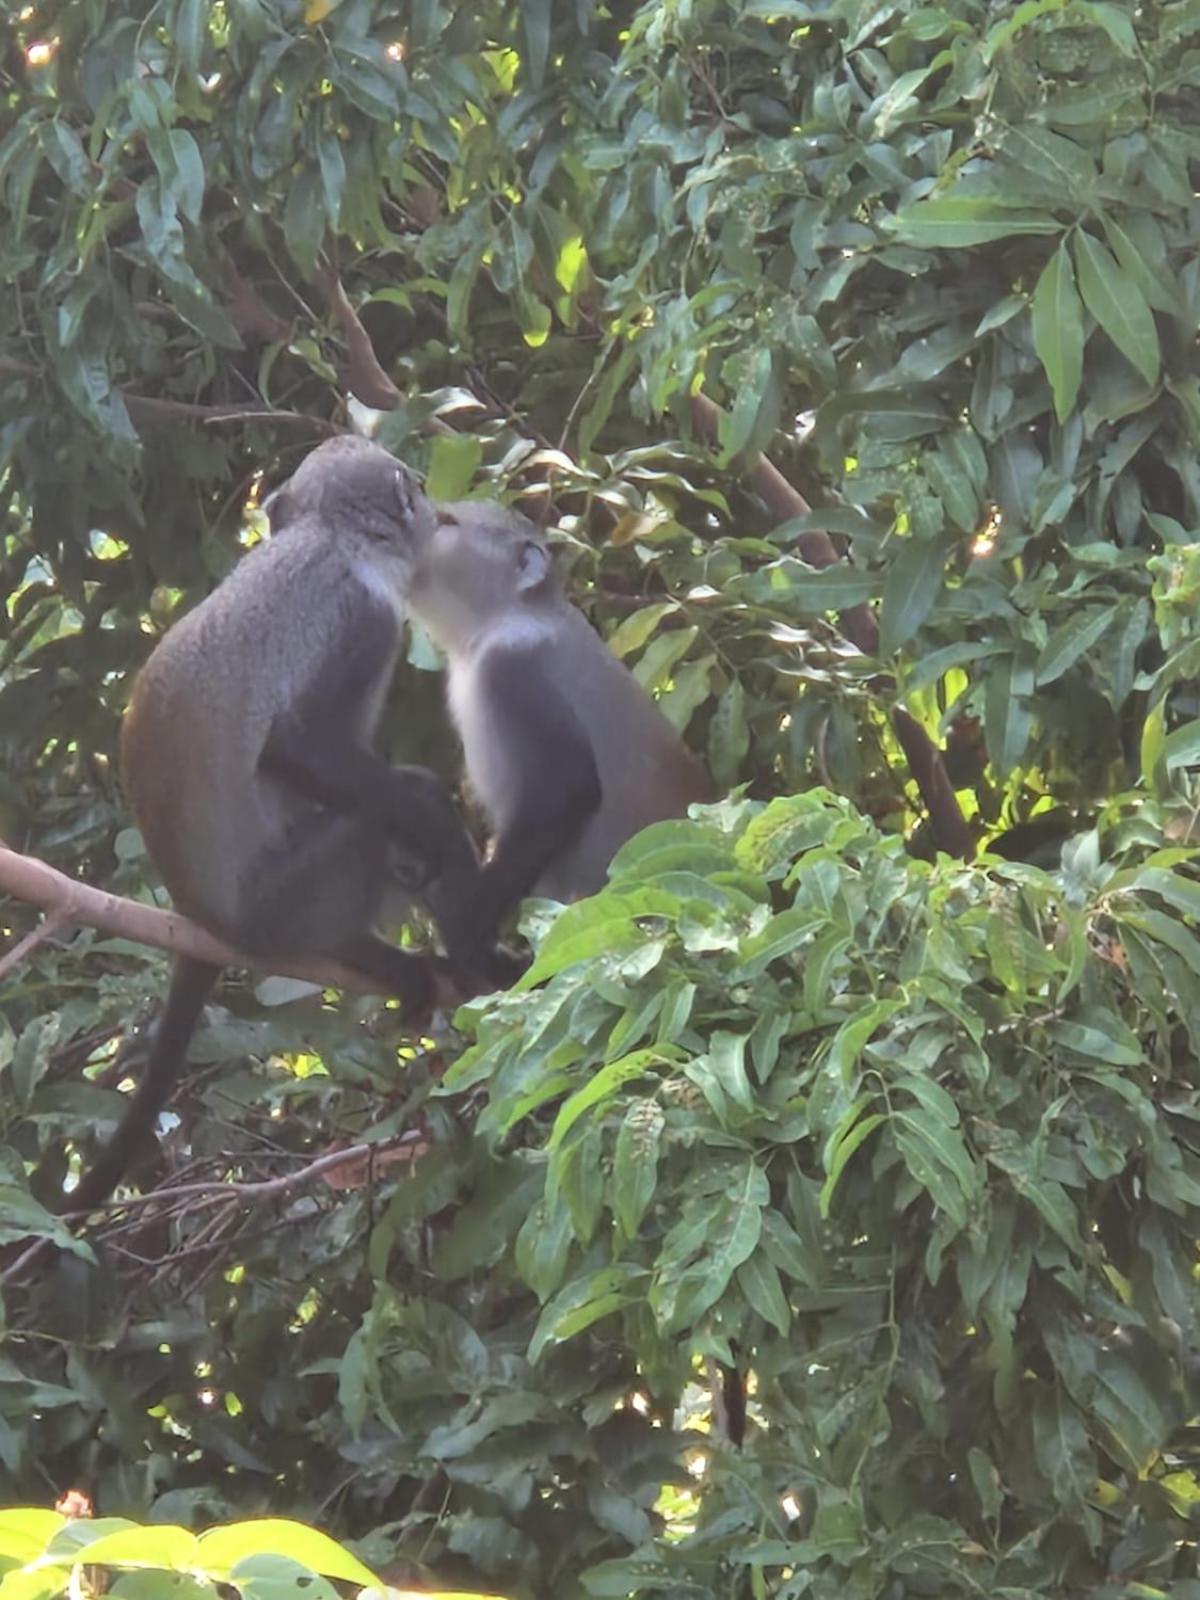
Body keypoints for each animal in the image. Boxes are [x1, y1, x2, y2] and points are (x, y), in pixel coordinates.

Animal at [74, 436, 510, 1213]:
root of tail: (199, 911)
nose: (434, 509)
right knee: (370, 827)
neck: (328, 536)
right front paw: (429, 803)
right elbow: (295, 746)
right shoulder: (365, 618)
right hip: (280, 904)